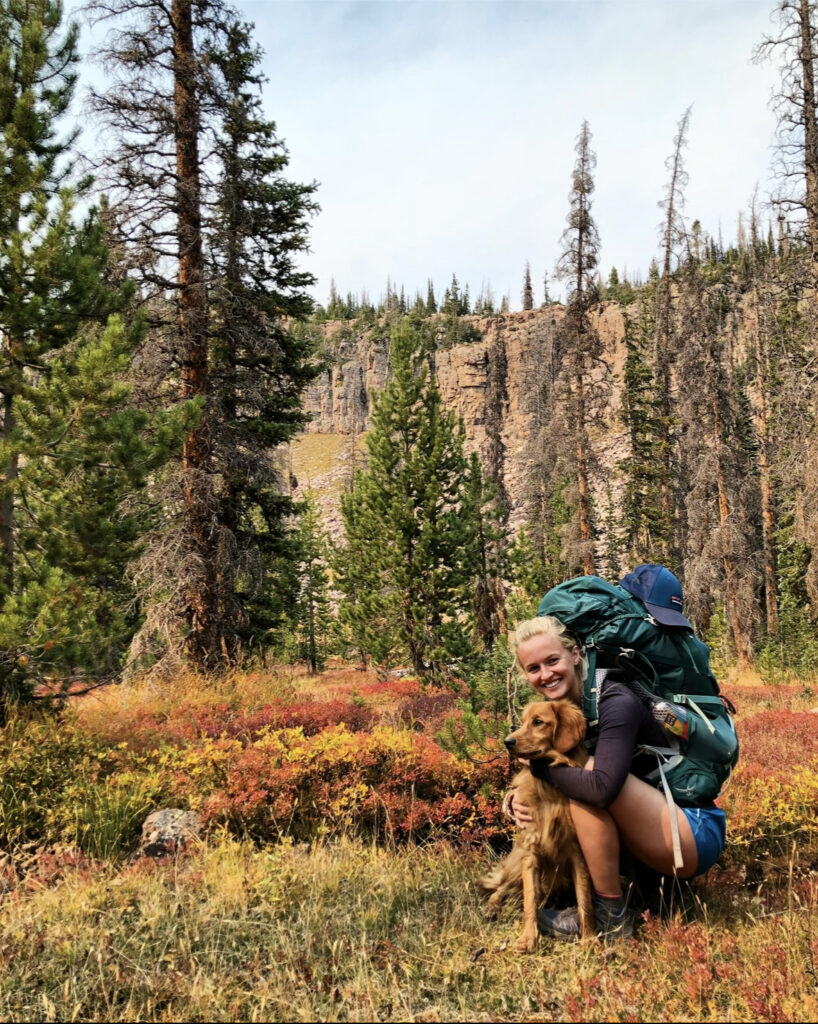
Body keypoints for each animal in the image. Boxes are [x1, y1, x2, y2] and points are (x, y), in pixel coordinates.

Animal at [479, 700, 593, 946]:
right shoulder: (530, 852)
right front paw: (528, 938)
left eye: (538, 722)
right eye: (522, 722)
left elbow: (585, 899)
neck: (548, 788)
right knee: (502, 886)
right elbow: (530, 899)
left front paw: (590, 938)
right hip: (517, 861)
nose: (507, 742)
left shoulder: (577, 853)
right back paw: (492, 906)